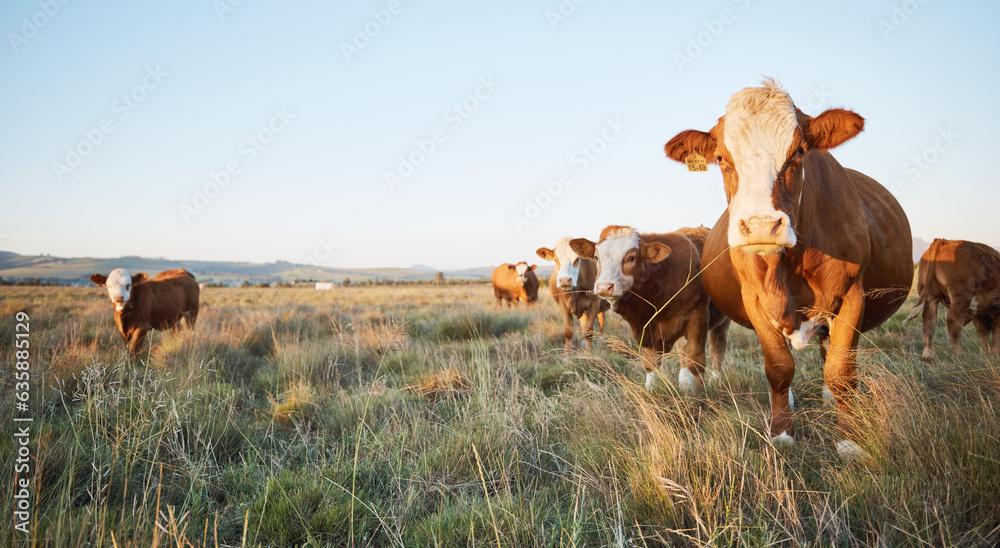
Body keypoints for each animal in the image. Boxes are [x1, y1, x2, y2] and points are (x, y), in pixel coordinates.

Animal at [572, 225, 736, 392]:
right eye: (596, 257)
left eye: (631, 257)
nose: (604, 287)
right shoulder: (646, 329)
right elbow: (651, 363)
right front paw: (652, 389)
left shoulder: (698, 317)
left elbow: (695, 361)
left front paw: (700, 394)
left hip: (722, 321)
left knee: (717, 348)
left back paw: (715, 380)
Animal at [664, 80, 916, 458]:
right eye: (721, 158)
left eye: (799, 152)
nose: (760, 226)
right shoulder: (755, 302)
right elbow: (778, 368)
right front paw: (782, 431)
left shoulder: (852, 296)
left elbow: (841, 370)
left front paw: (849, 440)